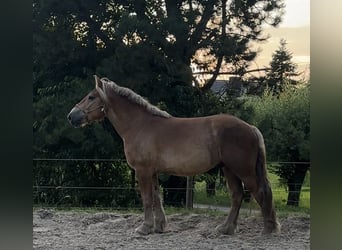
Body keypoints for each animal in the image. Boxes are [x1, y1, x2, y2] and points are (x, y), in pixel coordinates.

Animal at [67, 75, 280, 235]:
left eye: (91, 97)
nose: (71, 116)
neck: (139, 125)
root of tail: (250, 127)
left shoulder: (143, 171)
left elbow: (147, 199)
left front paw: (144, 228)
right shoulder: (152, 172)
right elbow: (156, 197)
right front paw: (160, 226)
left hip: (243, 171)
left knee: (260, 192)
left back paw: (269, 229)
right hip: (229, 170)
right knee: (237, 196)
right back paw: (226, 229)